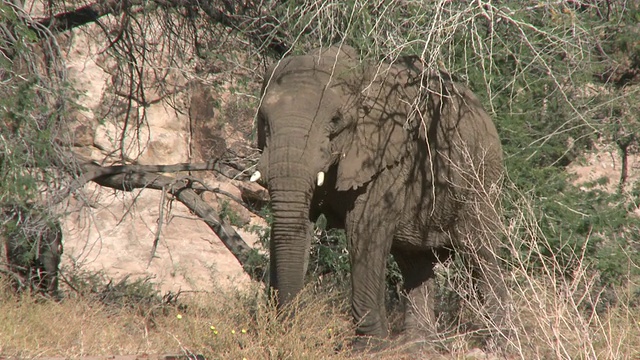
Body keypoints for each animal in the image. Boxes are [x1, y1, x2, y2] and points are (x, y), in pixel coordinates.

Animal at [252, 44, 508, 344]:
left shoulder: (387, 157)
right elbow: (296, 222)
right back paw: (417, 344)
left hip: (482, 178)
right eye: (263, 120)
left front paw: (373, 346)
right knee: (414, 263)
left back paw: (501, 340)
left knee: (480, 253)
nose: (290, 324)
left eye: (336, 121)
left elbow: (364, 230)